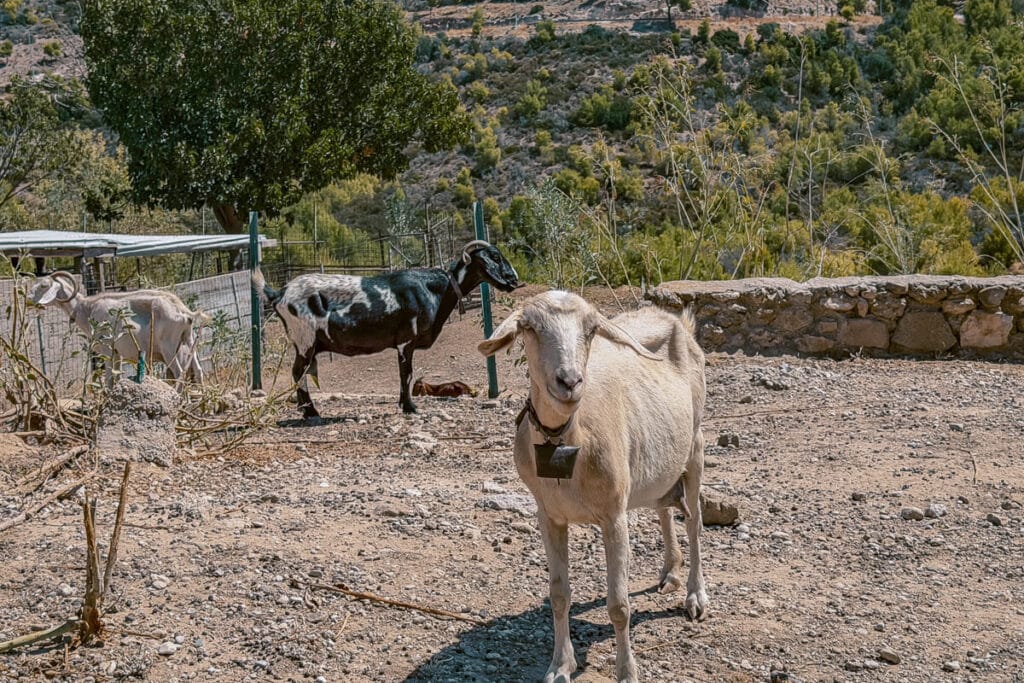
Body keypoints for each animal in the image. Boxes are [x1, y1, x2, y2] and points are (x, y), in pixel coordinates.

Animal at [27, 271, 208, 383]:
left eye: (43, 285)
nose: (28, 299)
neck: (86, 308)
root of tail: (184, 312)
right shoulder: (117, 353)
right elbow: (116, 378)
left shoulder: (107, 350)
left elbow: (108, 379)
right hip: (189, 340)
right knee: (198, 371)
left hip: (168, 347)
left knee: (179, 373)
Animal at [253, 240, 520, 421]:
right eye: (494, 256)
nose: (514, 280)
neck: (435, 289)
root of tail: (279, 293)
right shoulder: (406, 341)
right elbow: (406, 374)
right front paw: (410, 407)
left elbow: (405, 374)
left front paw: (404, 405)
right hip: (305, 339)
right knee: (298, 372)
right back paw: (311, 412)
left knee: (300, 372)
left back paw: (307, 411)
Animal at [479, 291, 708, 683]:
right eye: (529, 327)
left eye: (591, 329)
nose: (569, 381)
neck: (567, 441)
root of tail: (678, 320)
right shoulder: (548, 514)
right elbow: (558, 595)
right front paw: (559, 665)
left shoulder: (613, 514)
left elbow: (618, 605)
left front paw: (627, 672)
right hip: (661, 455)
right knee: (663, 505)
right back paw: (669, 570)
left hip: (695, 444)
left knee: (694, 521)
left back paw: (695, 596)